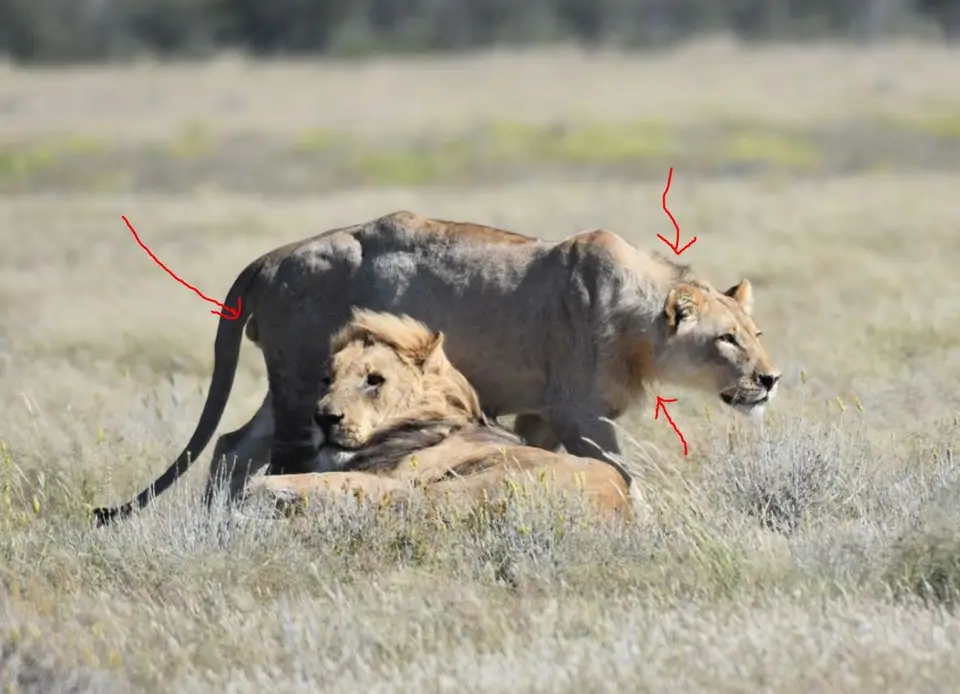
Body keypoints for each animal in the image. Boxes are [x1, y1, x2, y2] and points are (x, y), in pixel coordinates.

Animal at [242, 309, 644, 521]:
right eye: (327, 379)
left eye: (374, 380)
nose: (324, 418)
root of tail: (615, 505)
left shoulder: (392, 478)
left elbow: (317, 480)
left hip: (456, 486)